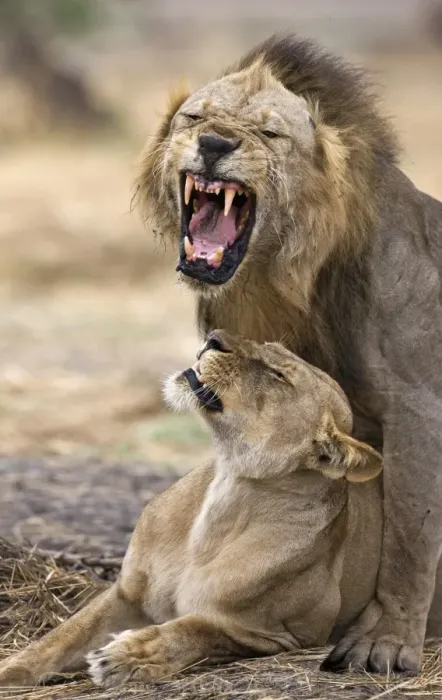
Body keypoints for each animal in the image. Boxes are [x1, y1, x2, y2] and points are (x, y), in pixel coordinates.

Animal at [2, 331, 441, 688]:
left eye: (278, 375)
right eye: (269, 346)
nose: (213, 337)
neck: (226, 494)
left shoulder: (286, 635)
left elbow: (196, 631)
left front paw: (128, 656)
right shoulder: (127, 594)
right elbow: (58, 638)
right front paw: (11, 671)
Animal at [135, 35, 442, 674]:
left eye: (269, 133)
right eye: (194, 119)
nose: (215, 144)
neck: (285, 281)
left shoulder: (420, 406)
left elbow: (409, 530)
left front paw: (386, 642)